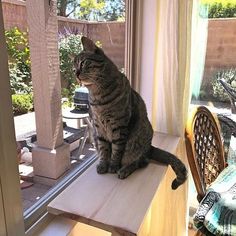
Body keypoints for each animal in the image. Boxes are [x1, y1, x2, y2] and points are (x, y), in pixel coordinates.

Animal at [74, 36, 188, 189]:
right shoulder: (98, 127)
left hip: (136, 142)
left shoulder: (119, 126)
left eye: (83, 62)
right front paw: (103, 164)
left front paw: (113, 166)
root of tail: (149, 147)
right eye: (74, 67)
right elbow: (104, 149)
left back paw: (125, 170)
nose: (75, 73)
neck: (97, 95)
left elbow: (116, 150)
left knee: (141, 162)